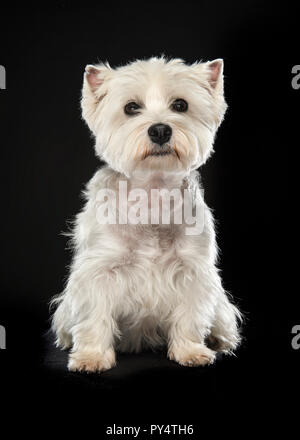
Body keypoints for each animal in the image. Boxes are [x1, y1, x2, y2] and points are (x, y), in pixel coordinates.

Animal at [51, 54, 241, 372]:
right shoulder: (99, 270)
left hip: (221, 308)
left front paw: (191, 351)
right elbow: (95, 317)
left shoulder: (191, 270)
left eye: (181, 105)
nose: (160, 130)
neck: (153, 192)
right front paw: (92, 357)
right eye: (131, 107)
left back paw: (218, 339)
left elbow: (190, 316)